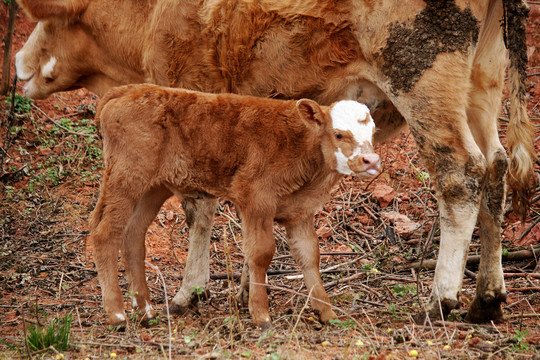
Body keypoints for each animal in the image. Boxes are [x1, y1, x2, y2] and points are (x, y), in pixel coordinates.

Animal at [92, 85, 380, 330]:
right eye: (339, 134)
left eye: (373, 134)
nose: (371, 160)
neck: (300, 144)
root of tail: (126, 90)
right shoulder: (256, 200)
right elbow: (261, 253)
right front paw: (261, 315)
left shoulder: (300, 212)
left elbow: (309, 255)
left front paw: (327, 313)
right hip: (126, 178)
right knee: (104, 234)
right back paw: (116, 315)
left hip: (153, 187)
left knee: (133, 234)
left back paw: (146, 311)